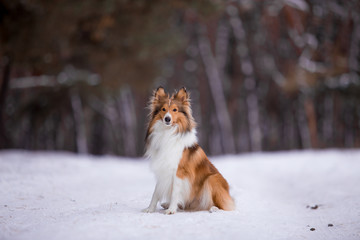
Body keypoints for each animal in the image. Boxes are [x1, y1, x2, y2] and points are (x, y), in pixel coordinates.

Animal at [142, 87, 235, 215]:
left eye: (175, 110)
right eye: (163, 109)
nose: (167, 119)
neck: (168, 133)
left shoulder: (179, 171)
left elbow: (175, 192)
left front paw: (171, 210)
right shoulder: (162, 169)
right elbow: (155, 193)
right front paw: (150, 209)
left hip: (212, 179)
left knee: (224, 206)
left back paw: (213, 208)